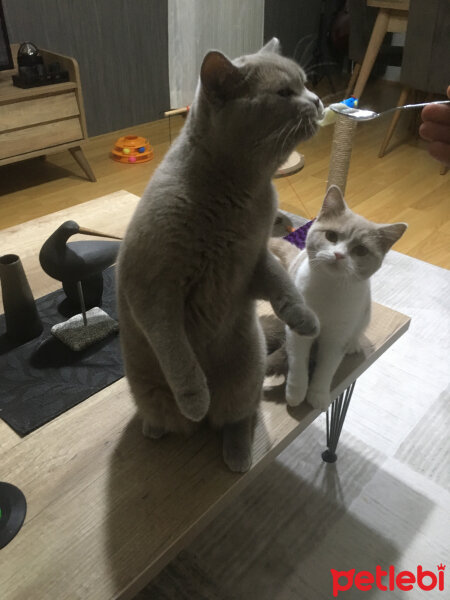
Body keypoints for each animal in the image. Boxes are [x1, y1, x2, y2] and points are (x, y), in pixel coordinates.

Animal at [118, 38, 326, 474]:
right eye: (285, 92)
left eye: (305, 83)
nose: (316, 99)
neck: (241, 192)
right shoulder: (153, 291)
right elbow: (175, 349)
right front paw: (195, 396)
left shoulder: (253, 260)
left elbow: (282, 284)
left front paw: (305, 319)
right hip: (147, 389)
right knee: (178, 413)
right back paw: (168, 423)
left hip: (246, 373)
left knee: (239, 416)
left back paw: (238, 455)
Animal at [268, 186, 408, 412]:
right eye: (331, 235)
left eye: (361, 250)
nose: (339, 255)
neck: (329, 289)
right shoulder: (299, 327)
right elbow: (298, 363)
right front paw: (295, 393)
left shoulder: (337, 336)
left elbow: (327, 368)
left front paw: (318, 394)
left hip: (364, 313)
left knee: (357, 331)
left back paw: (354, 344)